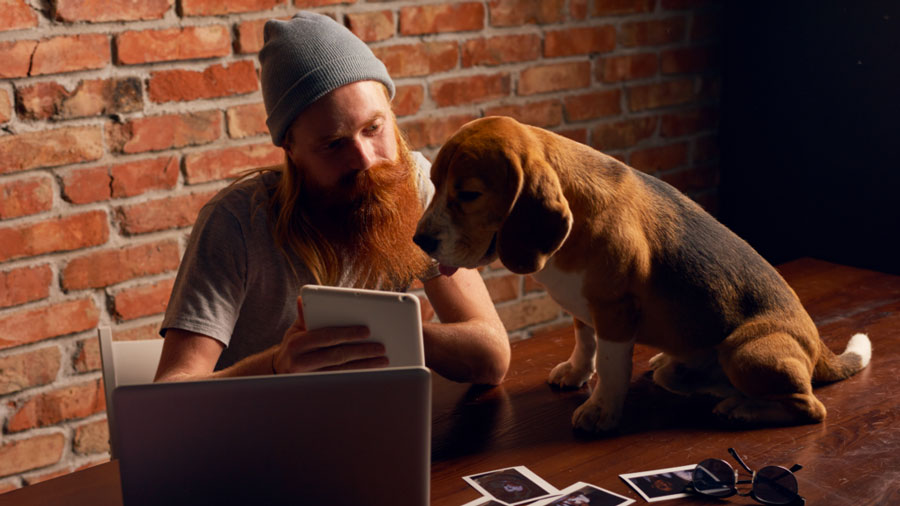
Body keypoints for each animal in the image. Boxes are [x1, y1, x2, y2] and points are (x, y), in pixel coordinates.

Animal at [414, 116, 872, 432]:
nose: (419, 240)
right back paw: (689, 376)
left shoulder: (614, 311)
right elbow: (585, 343)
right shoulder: (586, 309)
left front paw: (601, 411)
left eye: (468, 194)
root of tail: (818, 348)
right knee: (687, 378)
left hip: (746, 352)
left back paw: (743, 410)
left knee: (809, 407)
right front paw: (576, 373)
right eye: (433, 182)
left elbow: (611, 364)